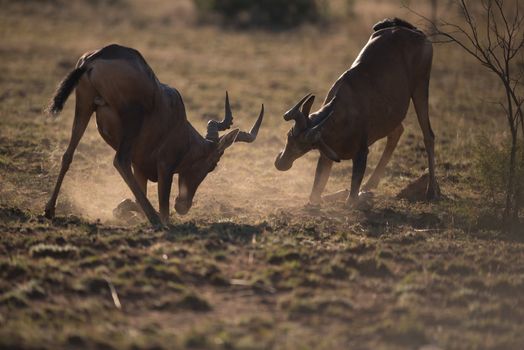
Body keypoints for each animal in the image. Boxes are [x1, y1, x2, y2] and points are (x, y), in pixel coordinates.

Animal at [45, 44, 264, 224]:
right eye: (212, 165)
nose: (183, 206)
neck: (178, 121)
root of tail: (99, 55)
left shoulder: (140, 168)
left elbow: (135, 198)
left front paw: (119, 209)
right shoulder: (164, 167)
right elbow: (164, 210)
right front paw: (157, 216)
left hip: (84, 106)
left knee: (68, 154)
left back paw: (49, 209)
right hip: (132, 118)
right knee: (120, 161)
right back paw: (155, 219)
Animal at [274, 18, 438, 205]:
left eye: (306, 146)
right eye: (289, 135)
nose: (281, 164)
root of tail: (415, 31)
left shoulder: (361, 153)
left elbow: (351, 200)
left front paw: (358, 195)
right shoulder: (326, 155)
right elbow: (315, 196)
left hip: (421, 87)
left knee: (428, 135)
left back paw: (431, 191)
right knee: (397, 131)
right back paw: (370, 184)